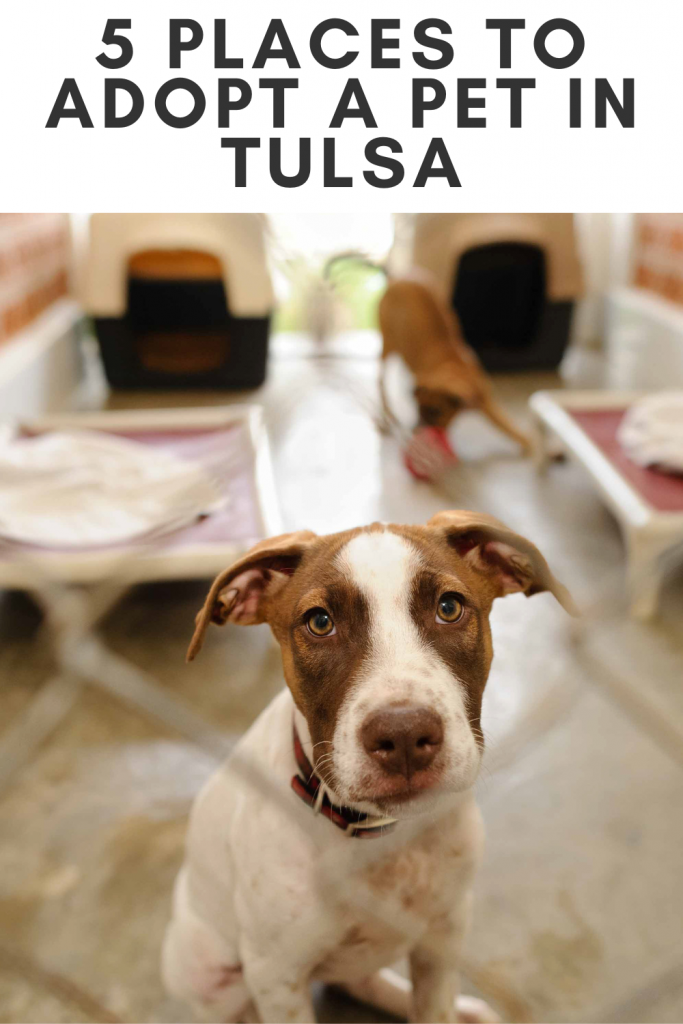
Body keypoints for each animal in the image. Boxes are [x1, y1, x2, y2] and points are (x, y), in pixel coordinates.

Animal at [162, 516, 573, 1019]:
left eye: (449, 607)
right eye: (320, 622)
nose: (404, 736)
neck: (380, 838)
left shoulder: (446, 930)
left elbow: (434, 1008)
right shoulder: (276, 976)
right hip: (208, 971)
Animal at [378, 278, 532, 458]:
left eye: (436, 411)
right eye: (418, 409)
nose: (416, 435)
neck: (455, 369)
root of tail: (397, 281)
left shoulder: (487, 402)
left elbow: (508, 425)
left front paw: (526, 441)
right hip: (389, 344)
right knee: (380, 379)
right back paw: (386, 414)